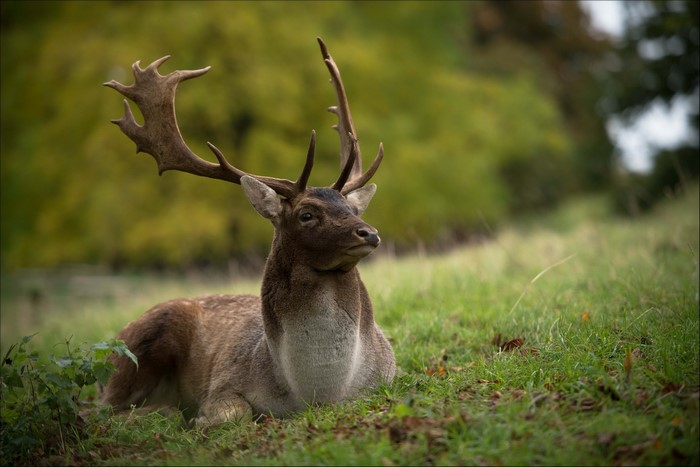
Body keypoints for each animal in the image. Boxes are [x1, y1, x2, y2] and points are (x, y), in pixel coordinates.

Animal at [101, 38, 396, 427]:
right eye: (306, 214)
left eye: (354, 209)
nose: (369, 233)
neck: (317, 392)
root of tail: (114, 337)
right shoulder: (225, 381)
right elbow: (232, 414)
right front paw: (199, 419)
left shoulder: (388, 375)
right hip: (136, 350)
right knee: (97, 409)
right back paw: (165, 410)